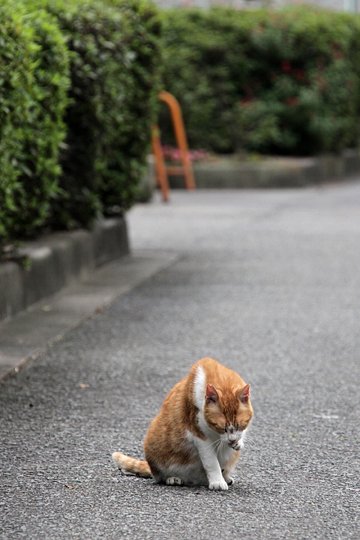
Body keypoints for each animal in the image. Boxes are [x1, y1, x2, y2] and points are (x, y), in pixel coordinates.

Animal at [112, 356, 253, 492]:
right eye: (221, 428)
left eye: (240, 425)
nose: (232, 440)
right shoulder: (199, 436)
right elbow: (211, 462)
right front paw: (217, 482)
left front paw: (238, 443)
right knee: (158, 476)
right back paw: (173, 478)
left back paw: (226, 477)